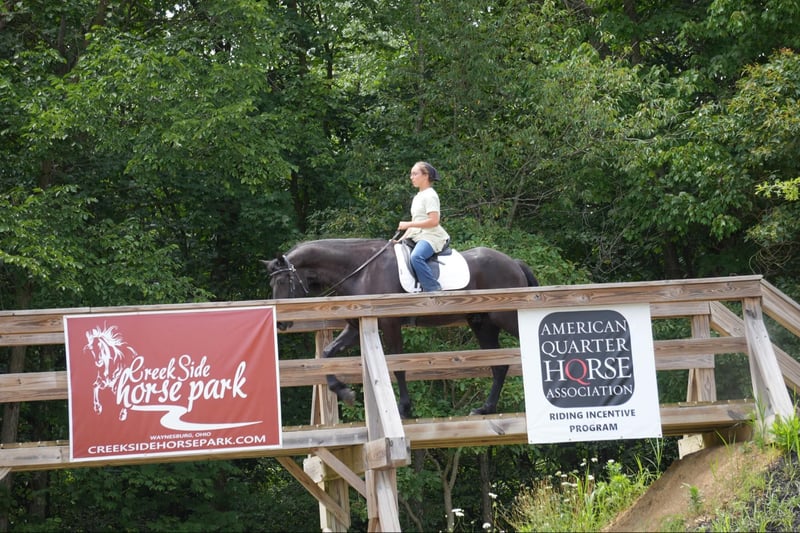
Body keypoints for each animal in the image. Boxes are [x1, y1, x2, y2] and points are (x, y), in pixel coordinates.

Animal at [263, 238, 538, 418]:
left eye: (282, 281)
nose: (281, 323)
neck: (360, 270)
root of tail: (513, 262)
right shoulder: (357, 326)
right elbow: (328, 353)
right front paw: (343, 392)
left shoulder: (389, 323)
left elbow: (398, 367)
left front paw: (405, 409)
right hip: (483, 324)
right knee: (499, 365)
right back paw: (486, 408)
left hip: (507, 317)